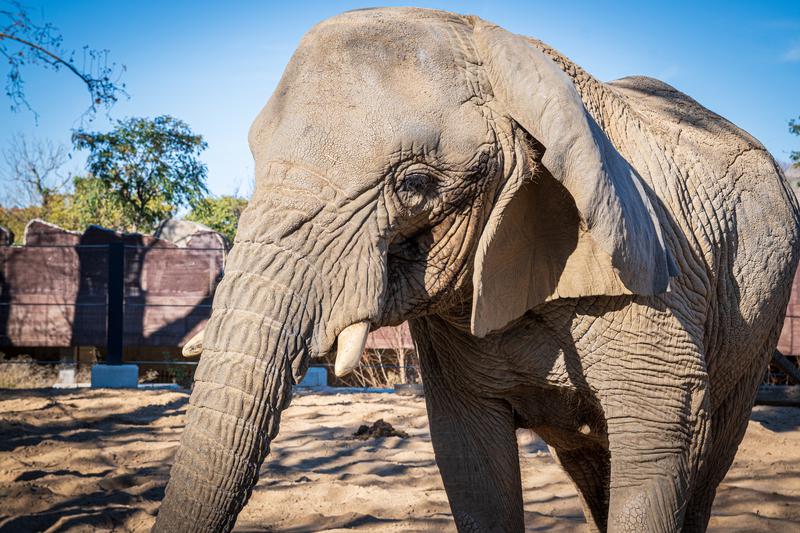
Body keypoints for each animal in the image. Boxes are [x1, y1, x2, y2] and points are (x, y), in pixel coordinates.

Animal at [155, 7, 800, 532]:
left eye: (415, 185)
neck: (507, 53)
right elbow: (470, 460)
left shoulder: (656, 287)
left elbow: (660, 449)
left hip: (758, 312)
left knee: (708, 456)